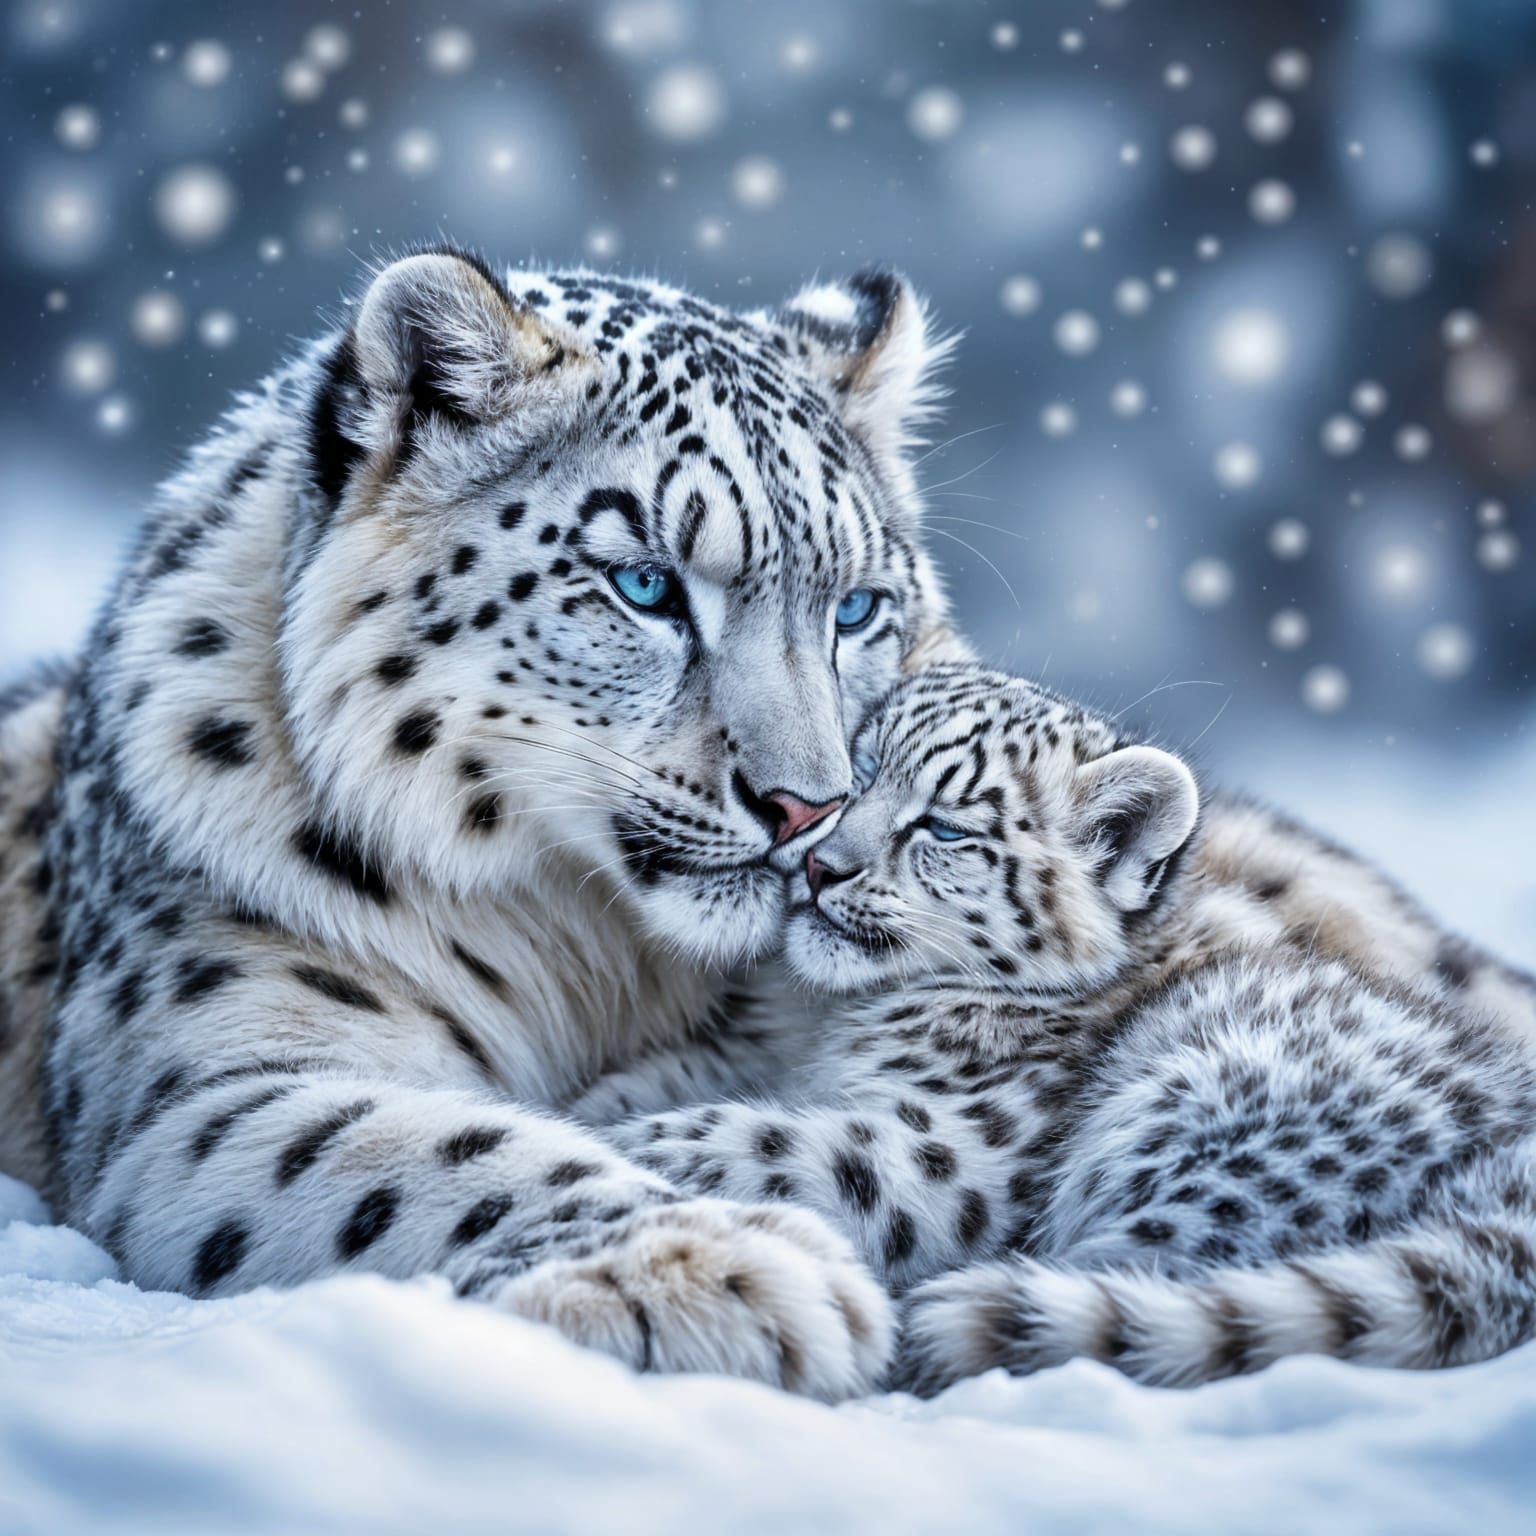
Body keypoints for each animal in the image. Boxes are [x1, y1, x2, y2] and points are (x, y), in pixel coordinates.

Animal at [0, 246, 969, 1402]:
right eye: (646, 585)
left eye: (856, 610)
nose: (809, 805)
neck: (594, 953)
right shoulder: (213, 1080)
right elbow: (429, 1150)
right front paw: (710, 1267)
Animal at [587, 663, 1536, 1394]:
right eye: (856, 775)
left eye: (944, 827)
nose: (821, 863)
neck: (826, 1017)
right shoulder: (761, 1053)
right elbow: (684, 1080)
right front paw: (600, 1106)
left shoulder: (949, 1151)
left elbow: (763, 1140)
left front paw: (639, 1147)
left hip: (1201, 1126)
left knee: (1138, 1270)